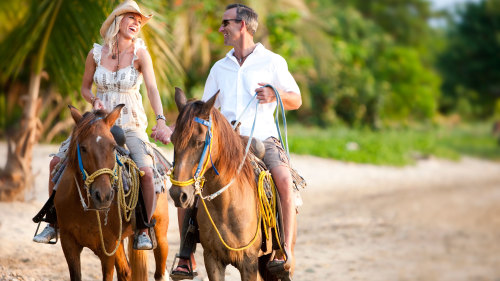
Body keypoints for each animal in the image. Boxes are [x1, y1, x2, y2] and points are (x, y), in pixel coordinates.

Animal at [54, 105, 169, 280]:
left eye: (113, 147)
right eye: (83, 148)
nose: (103, 196)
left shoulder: (107, 248)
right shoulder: (69, 244)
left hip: (160, 235)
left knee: (161, 272)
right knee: (126, 272)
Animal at [170, 88, 294, 280]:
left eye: (200, 141)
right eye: (172, 139)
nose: (178, 194)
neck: (226, 205)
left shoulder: (248, 262)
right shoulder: (212, 259)